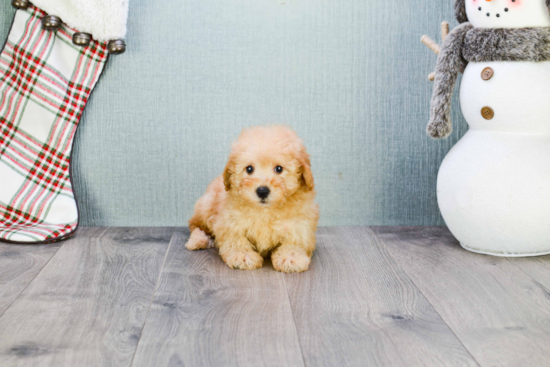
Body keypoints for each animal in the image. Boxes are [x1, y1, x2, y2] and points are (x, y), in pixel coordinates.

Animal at [188, 126, 322, 274]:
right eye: (249, 169)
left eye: (279, 169)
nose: (262, 191)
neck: (264, 210)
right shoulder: (229, 222)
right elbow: (236, 239)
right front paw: (242, 256)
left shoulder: (299, 224)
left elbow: (295, 242)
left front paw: (290, 258)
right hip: (206, 205)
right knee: (195, 225)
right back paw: (198, 240)